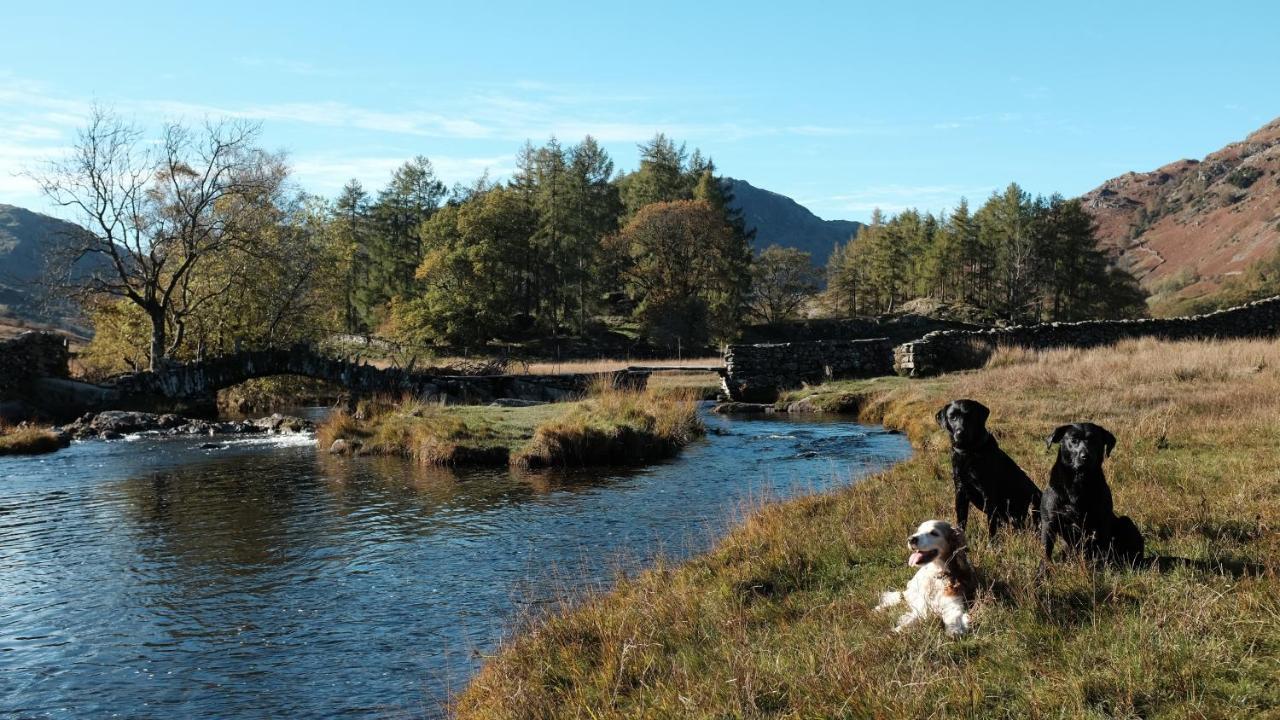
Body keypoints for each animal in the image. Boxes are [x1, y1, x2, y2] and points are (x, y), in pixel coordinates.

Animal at [936, 399, 1044, 535]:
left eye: (969, 415)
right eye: (952, 416)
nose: (961, 433)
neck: (968, 452)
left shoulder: (989, 495)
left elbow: (991, 526)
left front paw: (992, 541)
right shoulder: (960, 492)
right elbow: (961, 522)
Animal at [1044, 420, 1146, 566]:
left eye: (1094, 441)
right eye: (1073, 440)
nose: (1085, 456)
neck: (1079, 482)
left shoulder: (1102, 521)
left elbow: (1101, 549)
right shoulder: (1049, 522)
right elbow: (1046, 552)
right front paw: (1042, 571)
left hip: (1126, 522)